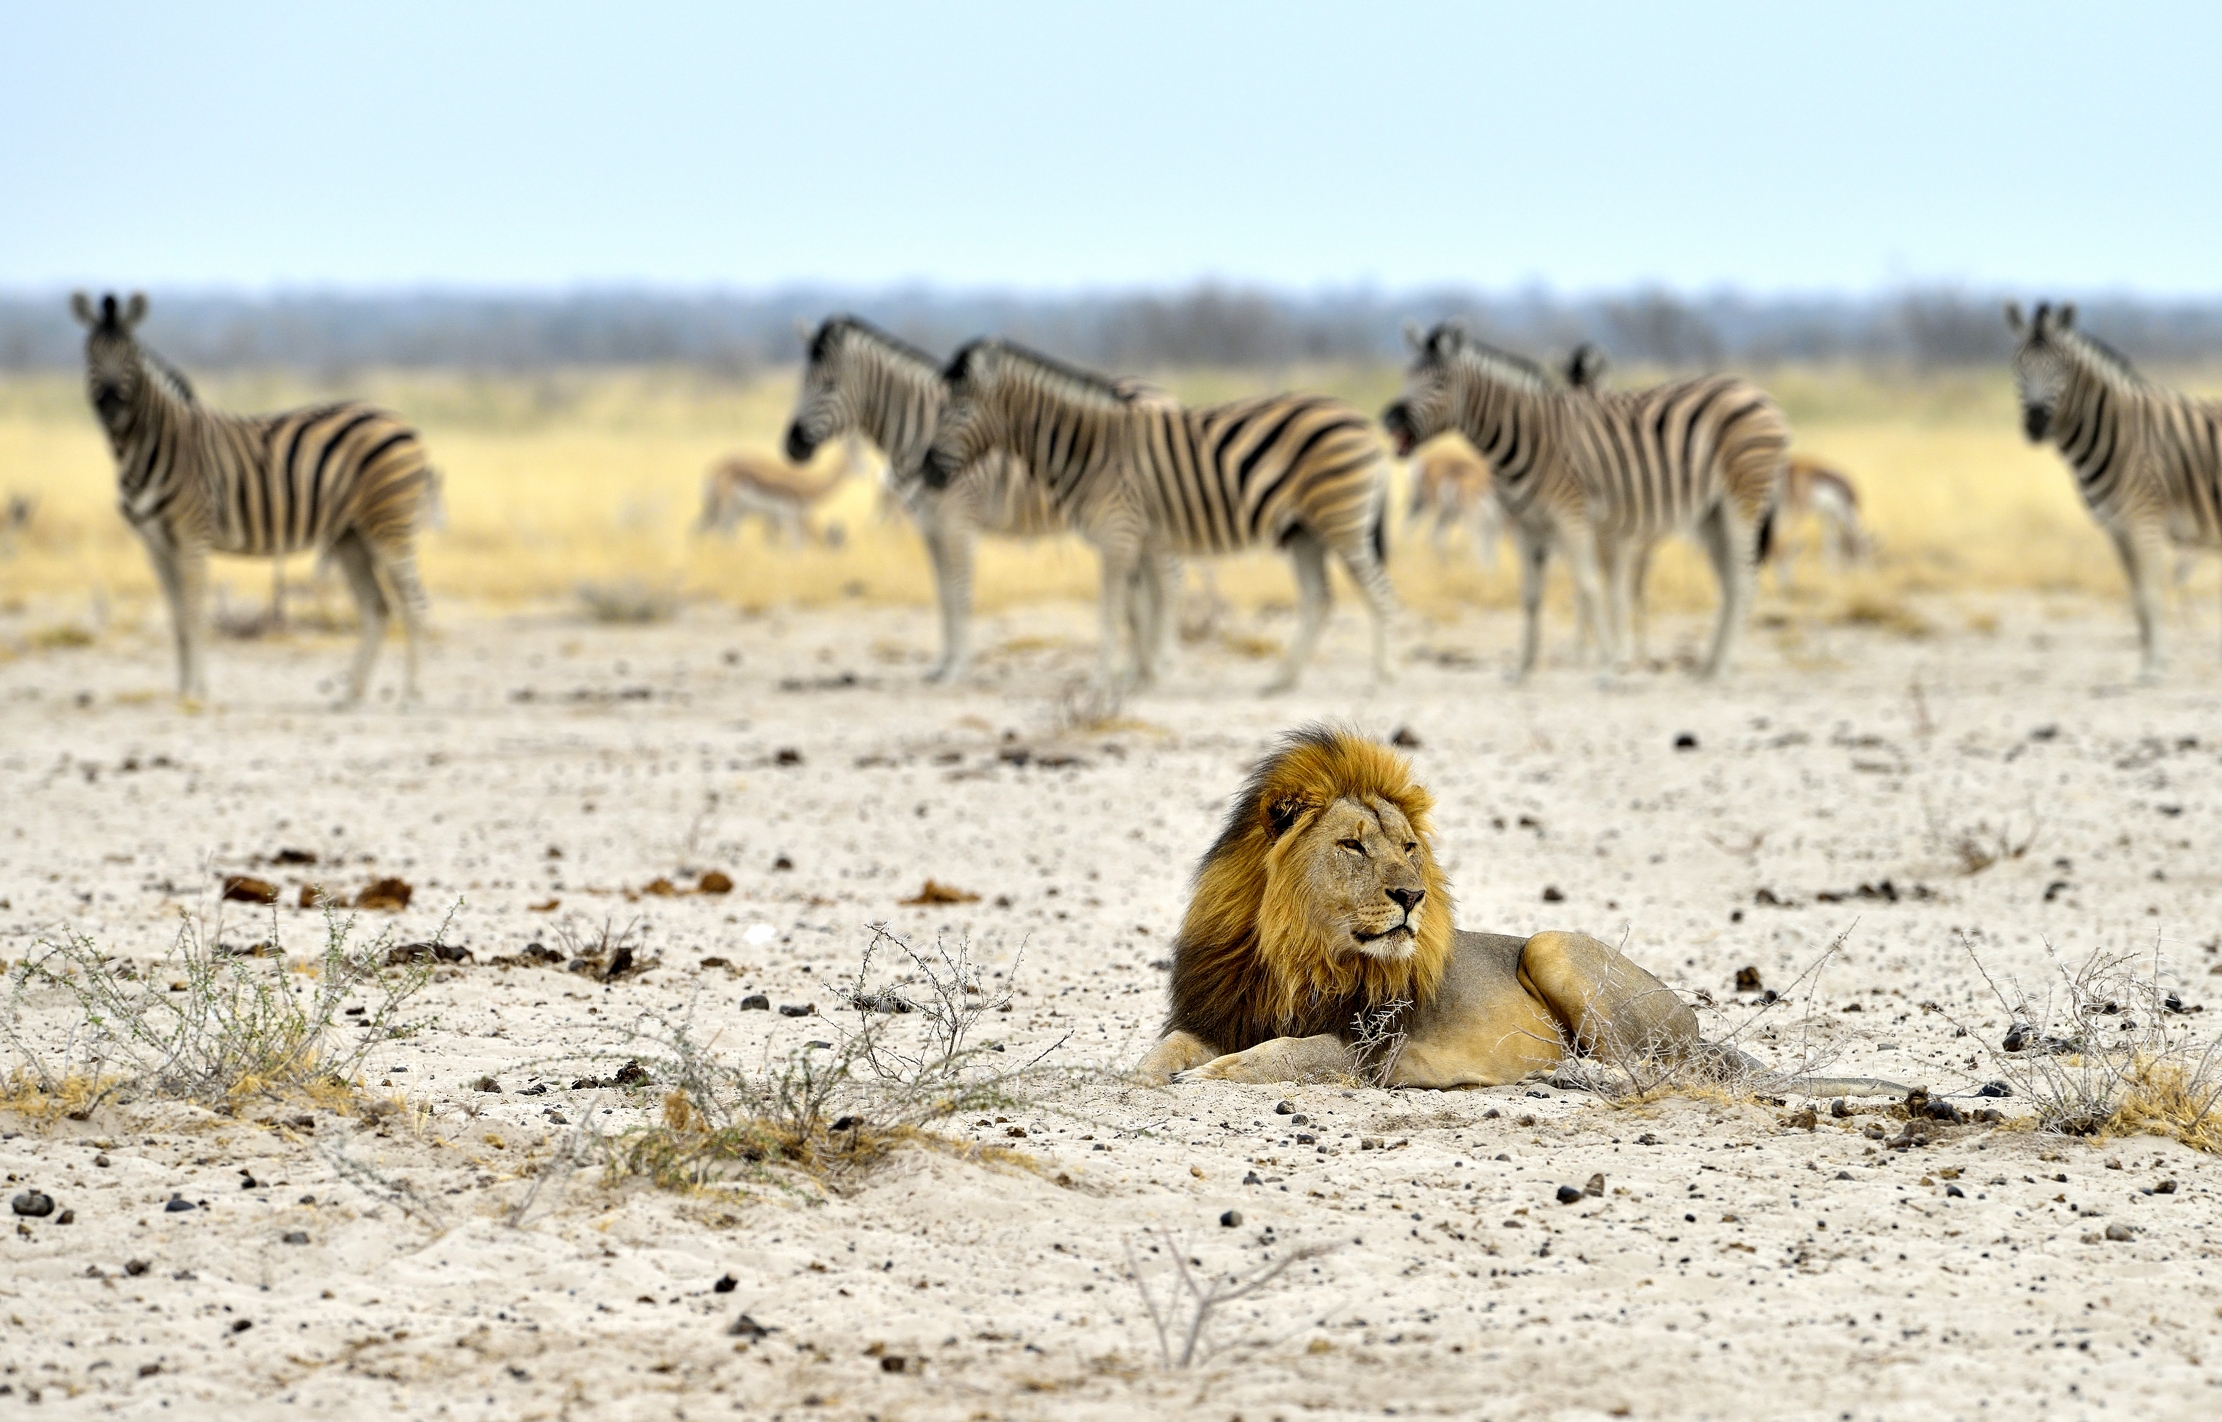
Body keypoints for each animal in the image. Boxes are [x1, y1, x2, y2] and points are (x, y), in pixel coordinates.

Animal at [1136, 726, 1909, 1097]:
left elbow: (1287, 1054)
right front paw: (1144, 1073)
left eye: (1409, 849)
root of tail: (1701, 1035)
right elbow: (1166, 1049)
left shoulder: (1367, 1049)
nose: (1412, 896)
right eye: (1353, 845)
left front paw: (1209, 1078)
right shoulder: (1221, 1012)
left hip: (1554, 943)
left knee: (1647, 1069)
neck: (1296, 951)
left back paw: (1564, 1075)